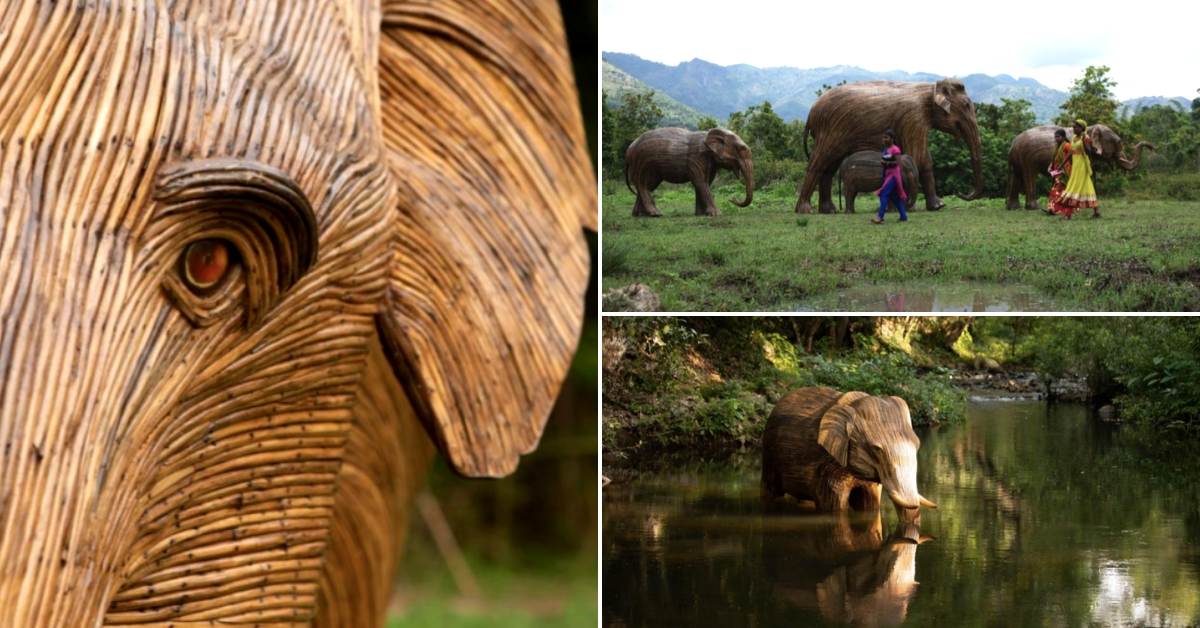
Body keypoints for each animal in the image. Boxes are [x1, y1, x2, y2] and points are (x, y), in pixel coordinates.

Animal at [624, 127, 754, 217]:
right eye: (740, 148)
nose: (732, 198)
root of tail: (629, 149)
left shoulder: (710, 164)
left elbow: (703, 183)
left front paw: (701, 215)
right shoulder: (696, 159)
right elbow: (701, 183)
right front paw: (716, 214)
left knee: (647, 186)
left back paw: (639, 215)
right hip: (642, 163)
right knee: (643, 185)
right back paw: (656, 214)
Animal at [761, 387, 937, 519]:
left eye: (918, 445)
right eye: (876, 449)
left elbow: (870, 503)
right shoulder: (826, 465)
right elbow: (834, 505)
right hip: (768, 455)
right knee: (770, 489)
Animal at [797, 79, 984, 214]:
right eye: (966, 105)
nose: (960, 192)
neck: (930, 88)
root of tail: (811, 111)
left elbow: (923, 158)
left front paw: (938, 206)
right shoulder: (912, 119)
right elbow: (918, 156)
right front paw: (912, 207)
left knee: (828, 168)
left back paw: (830, 211)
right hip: (829, 130)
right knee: (819, 162)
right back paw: (806, 211)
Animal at [1005, 124, 1154, 210]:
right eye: (1118, 142)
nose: (1152, 147)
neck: (1091, 128)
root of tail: (1012, 146)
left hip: (1019, 160)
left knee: (1017, 176)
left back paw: (1014, 208)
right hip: (1028, 158)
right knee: (1030, 176)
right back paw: (1034, 207)